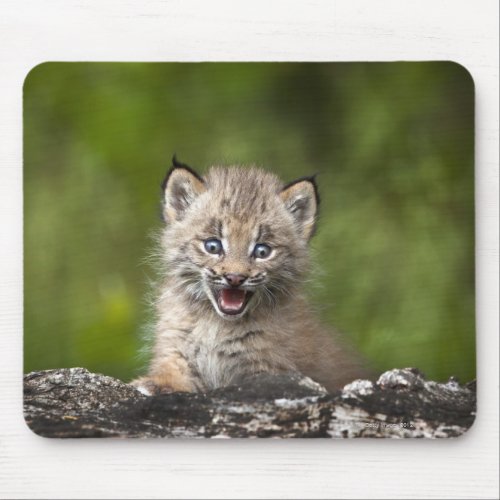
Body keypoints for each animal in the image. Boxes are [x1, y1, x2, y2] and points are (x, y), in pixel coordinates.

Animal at [131, 157, 370, 394]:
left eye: (262, 251)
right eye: (212, 246)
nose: (235, 278)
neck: (216, 323)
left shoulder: (265, 367)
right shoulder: (176, 347)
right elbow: (172, 372)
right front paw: (157, 384)